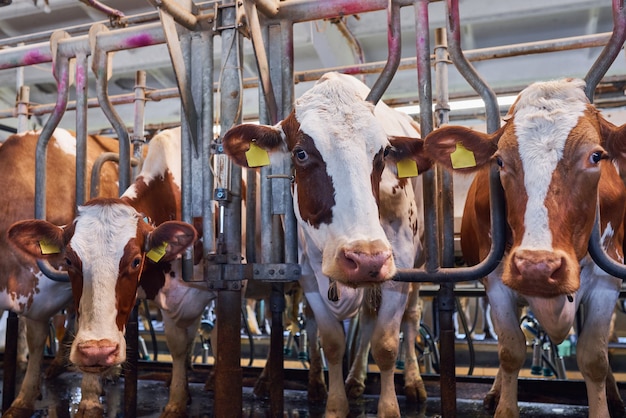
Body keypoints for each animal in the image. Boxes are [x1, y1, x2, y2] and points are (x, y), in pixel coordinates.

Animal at [222, 72, 432, 418]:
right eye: (300, 153)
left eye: (383, 154)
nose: (365, 258)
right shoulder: (307, 272)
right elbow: (332, 341)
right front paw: (334, 404)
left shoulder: (398, 262)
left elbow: (386, 344)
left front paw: (389, 408)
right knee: (366, 319)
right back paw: (354, 380)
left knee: (411, 319)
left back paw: (413, 381)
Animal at [424, 76, 624, 416]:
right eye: (500, 160)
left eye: (596, 156)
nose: (537, 267)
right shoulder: (496, 280)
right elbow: (511, 350)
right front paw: (504, 405)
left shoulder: (607, 279)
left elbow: (594, 358)